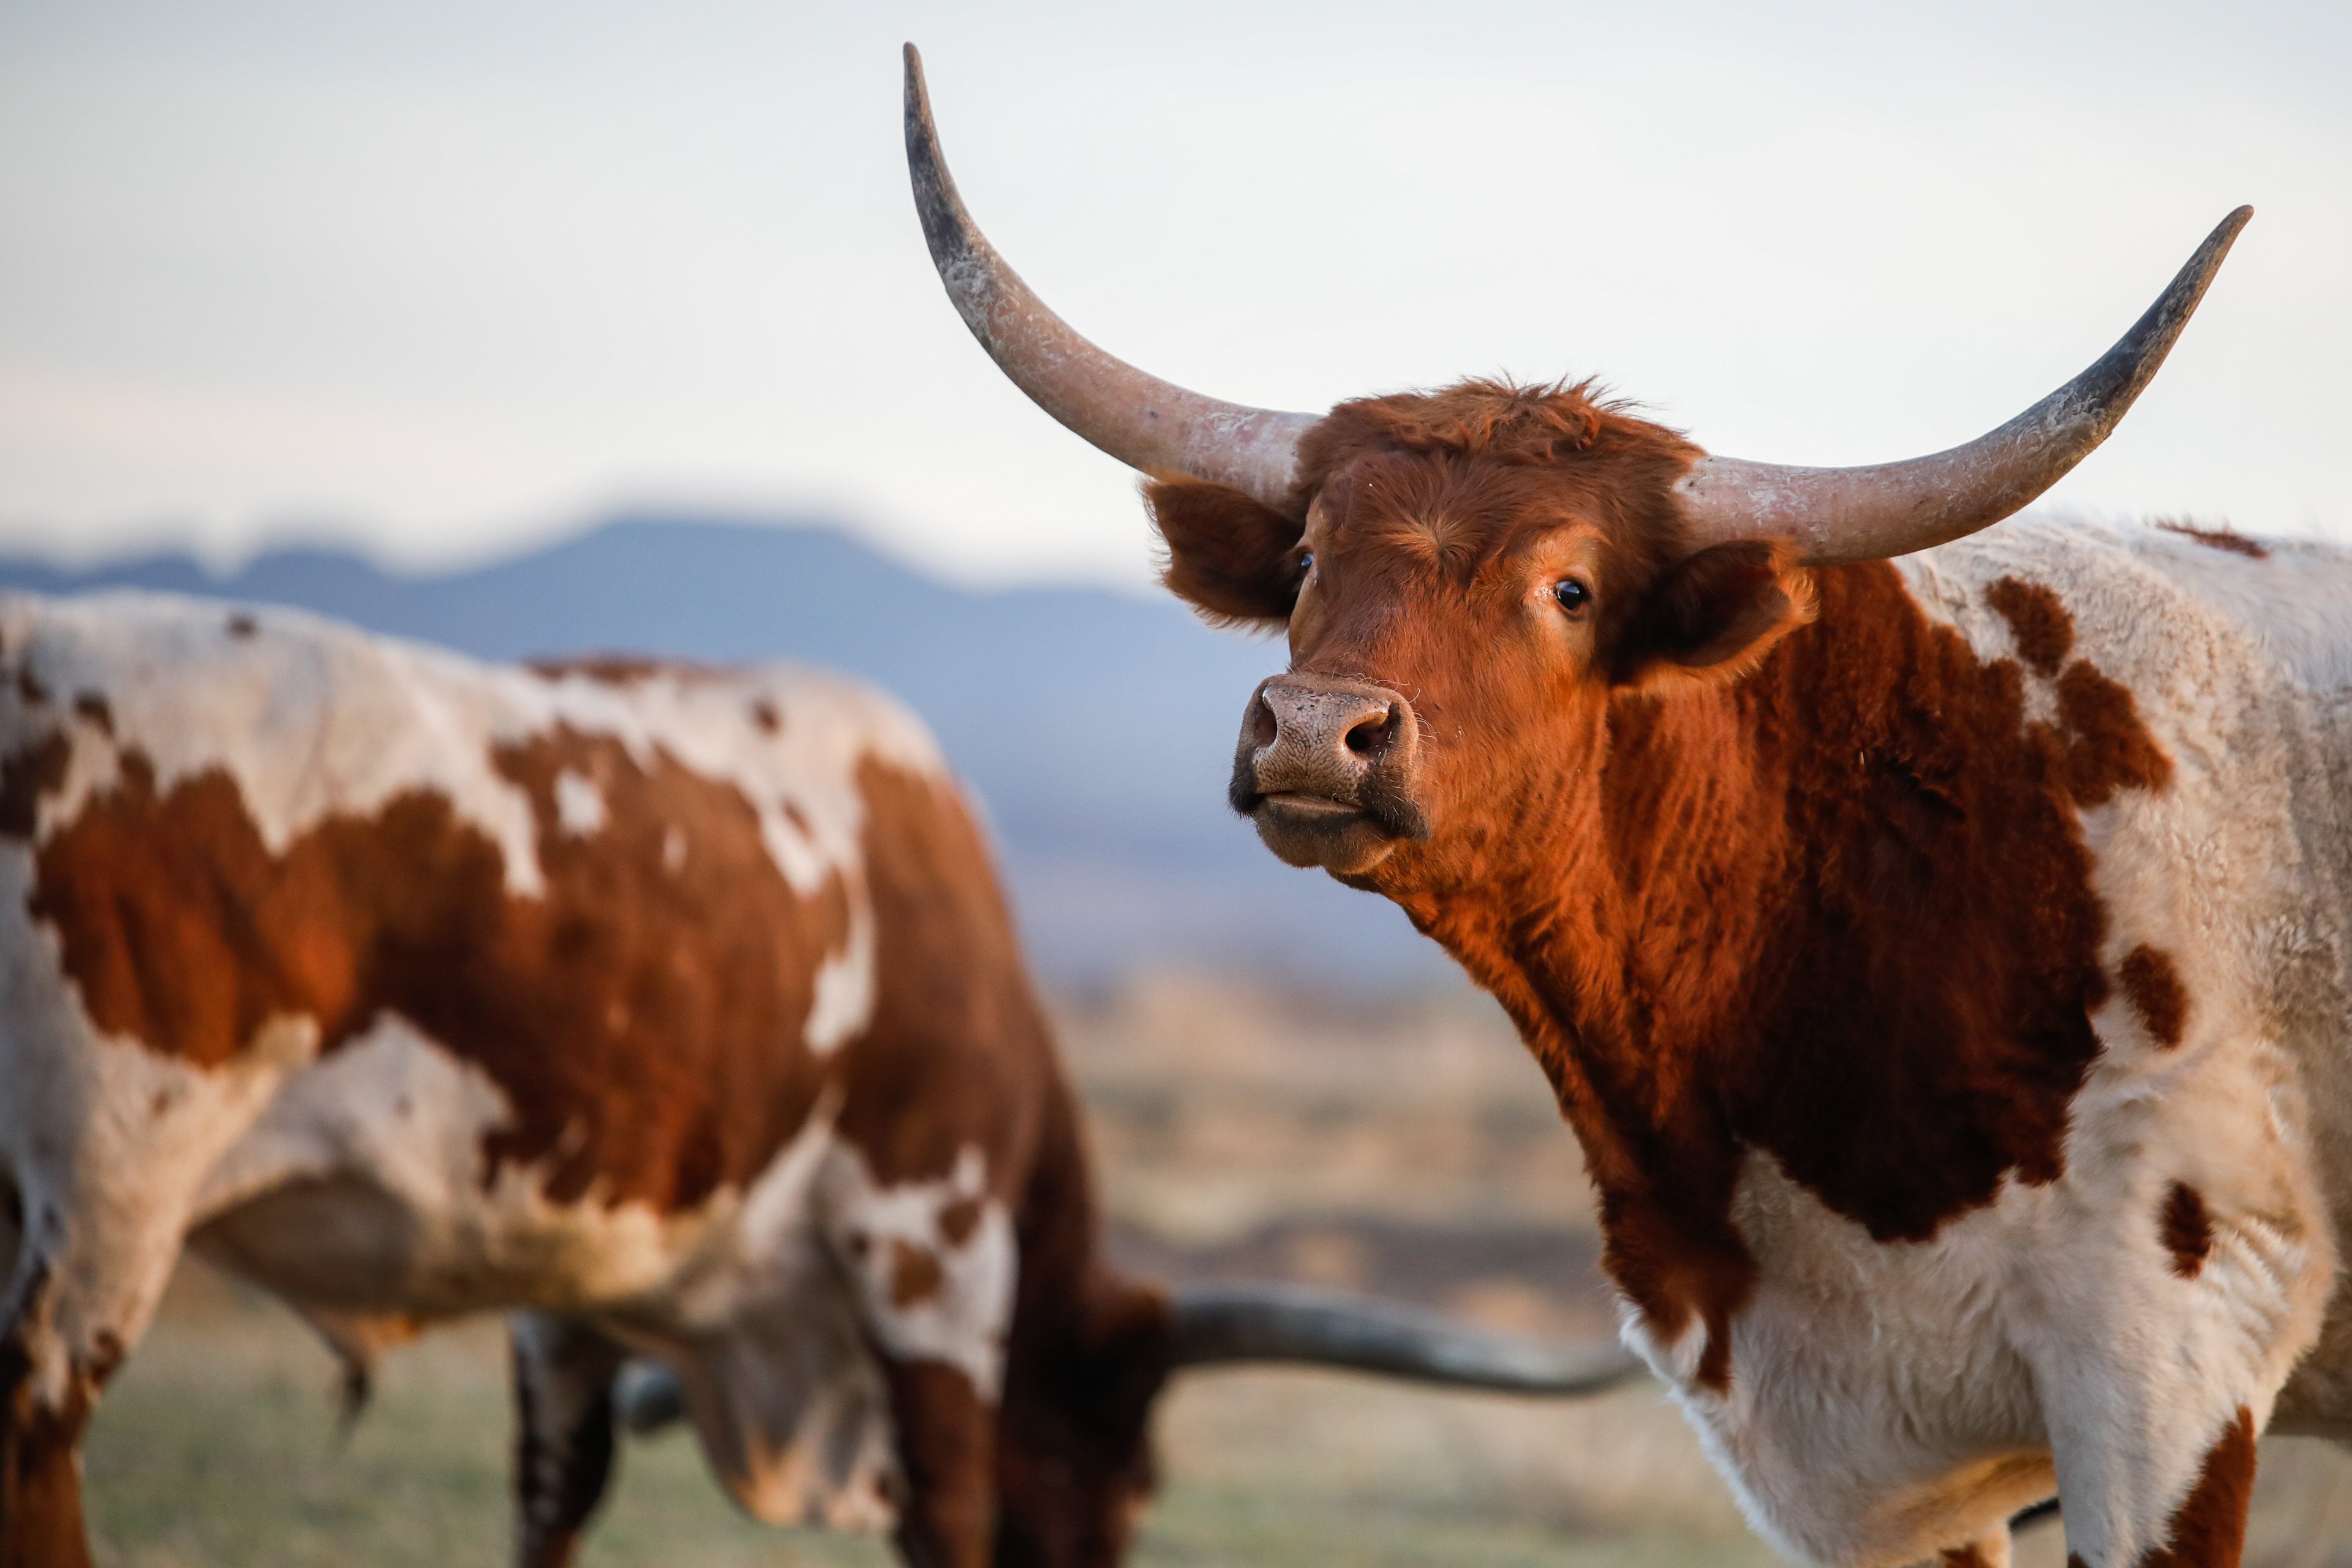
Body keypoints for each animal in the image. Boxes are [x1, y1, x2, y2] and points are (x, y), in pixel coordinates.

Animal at [0, 589, 1640, 1568]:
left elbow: (551, 1498)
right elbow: (952, 1510)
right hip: (108, 1188)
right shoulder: (932, 1251)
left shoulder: (564, 1294)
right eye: (1116, 1473)